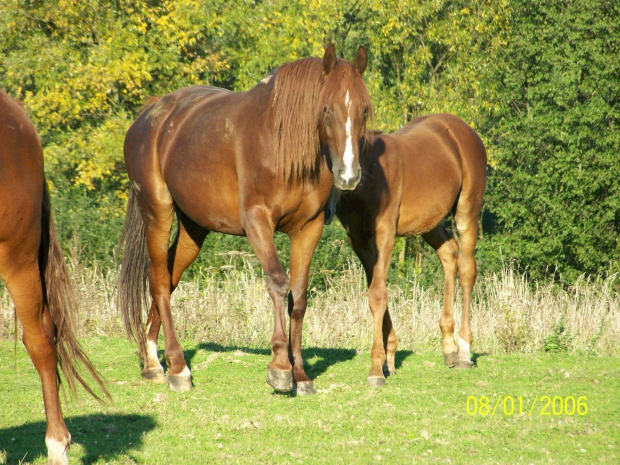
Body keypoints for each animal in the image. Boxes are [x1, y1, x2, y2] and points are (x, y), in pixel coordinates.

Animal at [120, 45, 372, 394]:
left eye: (364, 111)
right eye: (327, 110)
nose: (349, 175)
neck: (282, 145)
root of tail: (147, 117)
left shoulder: (309, 228)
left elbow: (299, 296)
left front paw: (301, 374)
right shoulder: (257, 221)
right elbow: (278, 283)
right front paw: (280, 367)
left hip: (194, 229)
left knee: (167, 277)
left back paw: (153, 361)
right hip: (157, 212)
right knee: (158, 280)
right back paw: (177, 367)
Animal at [334, 115, 484, 384]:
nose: (346, 178)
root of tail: (463, 129)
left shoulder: (385, 232)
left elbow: (377, 294)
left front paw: (376, 368)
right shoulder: (358, 239)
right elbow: (376, 289)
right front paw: (389, 359)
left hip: (467, 211)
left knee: (467, 269)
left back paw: (464, 352)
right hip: (430, 221)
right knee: (449, 253)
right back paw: (449, 347)